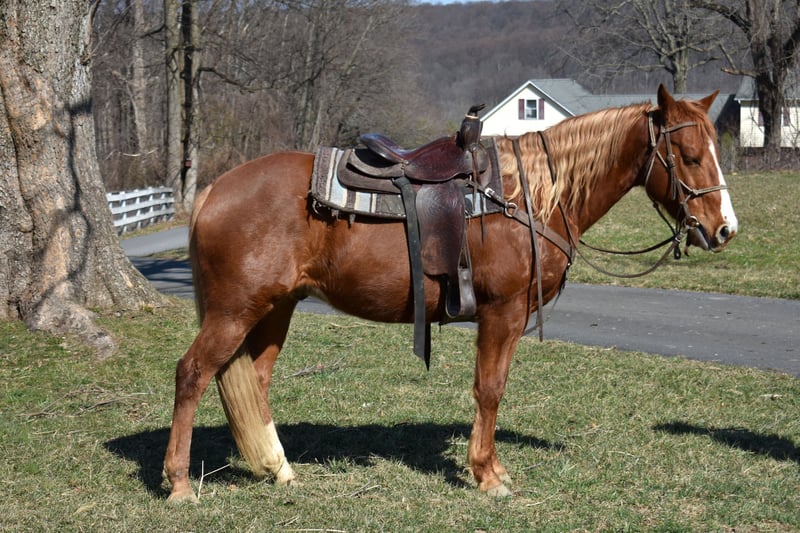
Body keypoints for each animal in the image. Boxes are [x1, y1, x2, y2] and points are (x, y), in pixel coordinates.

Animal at [163, 85, 738, 502]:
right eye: (689, 156)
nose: (724, 229)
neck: (529, 195)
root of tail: (214, 190)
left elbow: (492, 388)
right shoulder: (502, 312)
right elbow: (490, 389)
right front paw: (487, 475)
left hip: (273, 310)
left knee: (252, 381)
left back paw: (278, 468)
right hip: (234, 311)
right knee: (192, 374)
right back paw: (180, 484)